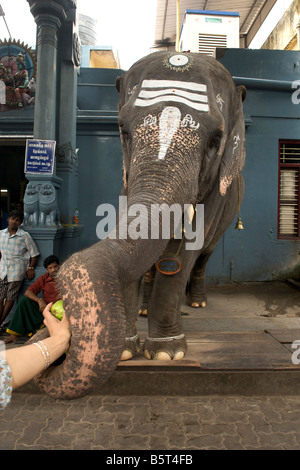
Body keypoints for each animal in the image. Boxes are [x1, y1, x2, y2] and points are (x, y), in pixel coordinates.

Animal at [29, 50, 246, 396]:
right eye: (123, 131)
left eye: (216, 140)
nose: (53, 332)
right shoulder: (125, 182)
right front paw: (127, 351)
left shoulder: (215, 194)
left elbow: (184, 254)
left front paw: (166, 353)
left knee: (204, 256)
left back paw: (197, 303)